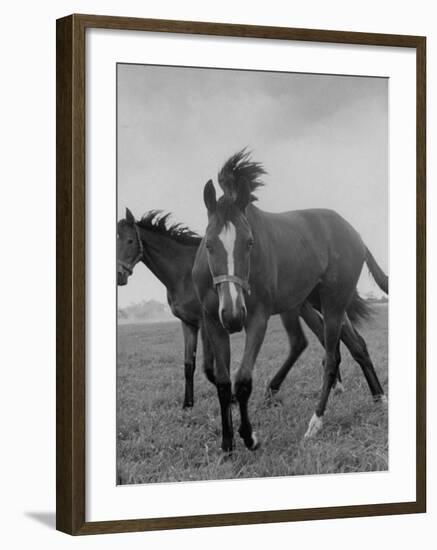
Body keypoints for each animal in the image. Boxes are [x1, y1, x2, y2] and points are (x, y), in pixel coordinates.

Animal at [118, 207, 382, 414]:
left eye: (130, 240)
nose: (120, 275)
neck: (182, 271)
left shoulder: (206, 321)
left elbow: (209, 367)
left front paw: (233, 398)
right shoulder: (189, 324)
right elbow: (188, 365)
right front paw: (188, 405)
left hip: (308, 307)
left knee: (314, 342)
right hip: (313, 305)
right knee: (344, 342)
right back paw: (362, 392)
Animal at [192, 150, 386, 452]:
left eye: (250, 242)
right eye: (209, 244)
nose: (234, 316)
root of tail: (356, 236)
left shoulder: (257, 318)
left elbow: (243, 379)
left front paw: (249, 437)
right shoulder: (213, 321)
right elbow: (223, 383)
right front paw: (227, 443)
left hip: (333, 303)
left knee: (332, 358)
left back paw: (315, 423)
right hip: (319, 303)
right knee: (357, 346)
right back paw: (380, 399)